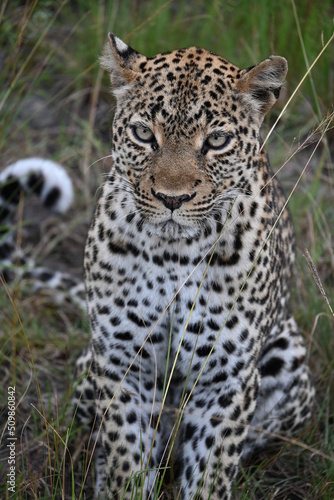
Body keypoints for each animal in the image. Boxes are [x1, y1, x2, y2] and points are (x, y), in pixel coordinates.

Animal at [75, 33, 314, 498]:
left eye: (216, 141)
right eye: (143, 134)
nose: (172, 199)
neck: (172, 254)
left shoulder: (227, 379)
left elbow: (209, 473)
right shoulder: (121, 364)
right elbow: (126, 460)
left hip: (291, 357)